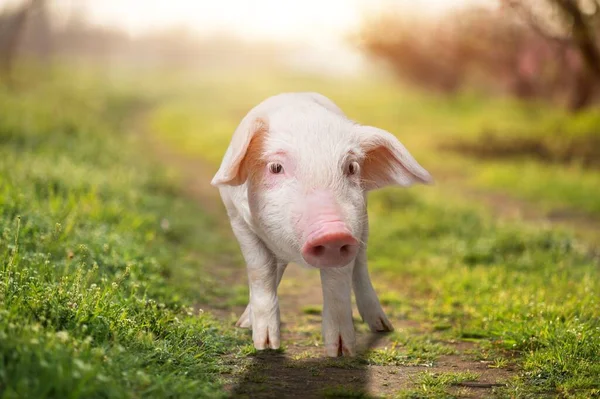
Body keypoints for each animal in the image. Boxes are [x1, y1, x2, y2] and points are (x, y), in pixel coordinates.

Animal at [211, 93, 432, 356]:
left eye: (351, 167)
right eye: (275, 167)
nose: (332, 233)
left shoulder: (353, 226)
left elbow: (337, 280)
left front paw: (341, 351)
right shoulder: (237, 218)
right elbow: (260, 270)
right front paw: (266, 346)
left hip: (363, 223)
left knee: (361, 267)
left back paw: (382, 327)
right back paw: (243, 323)